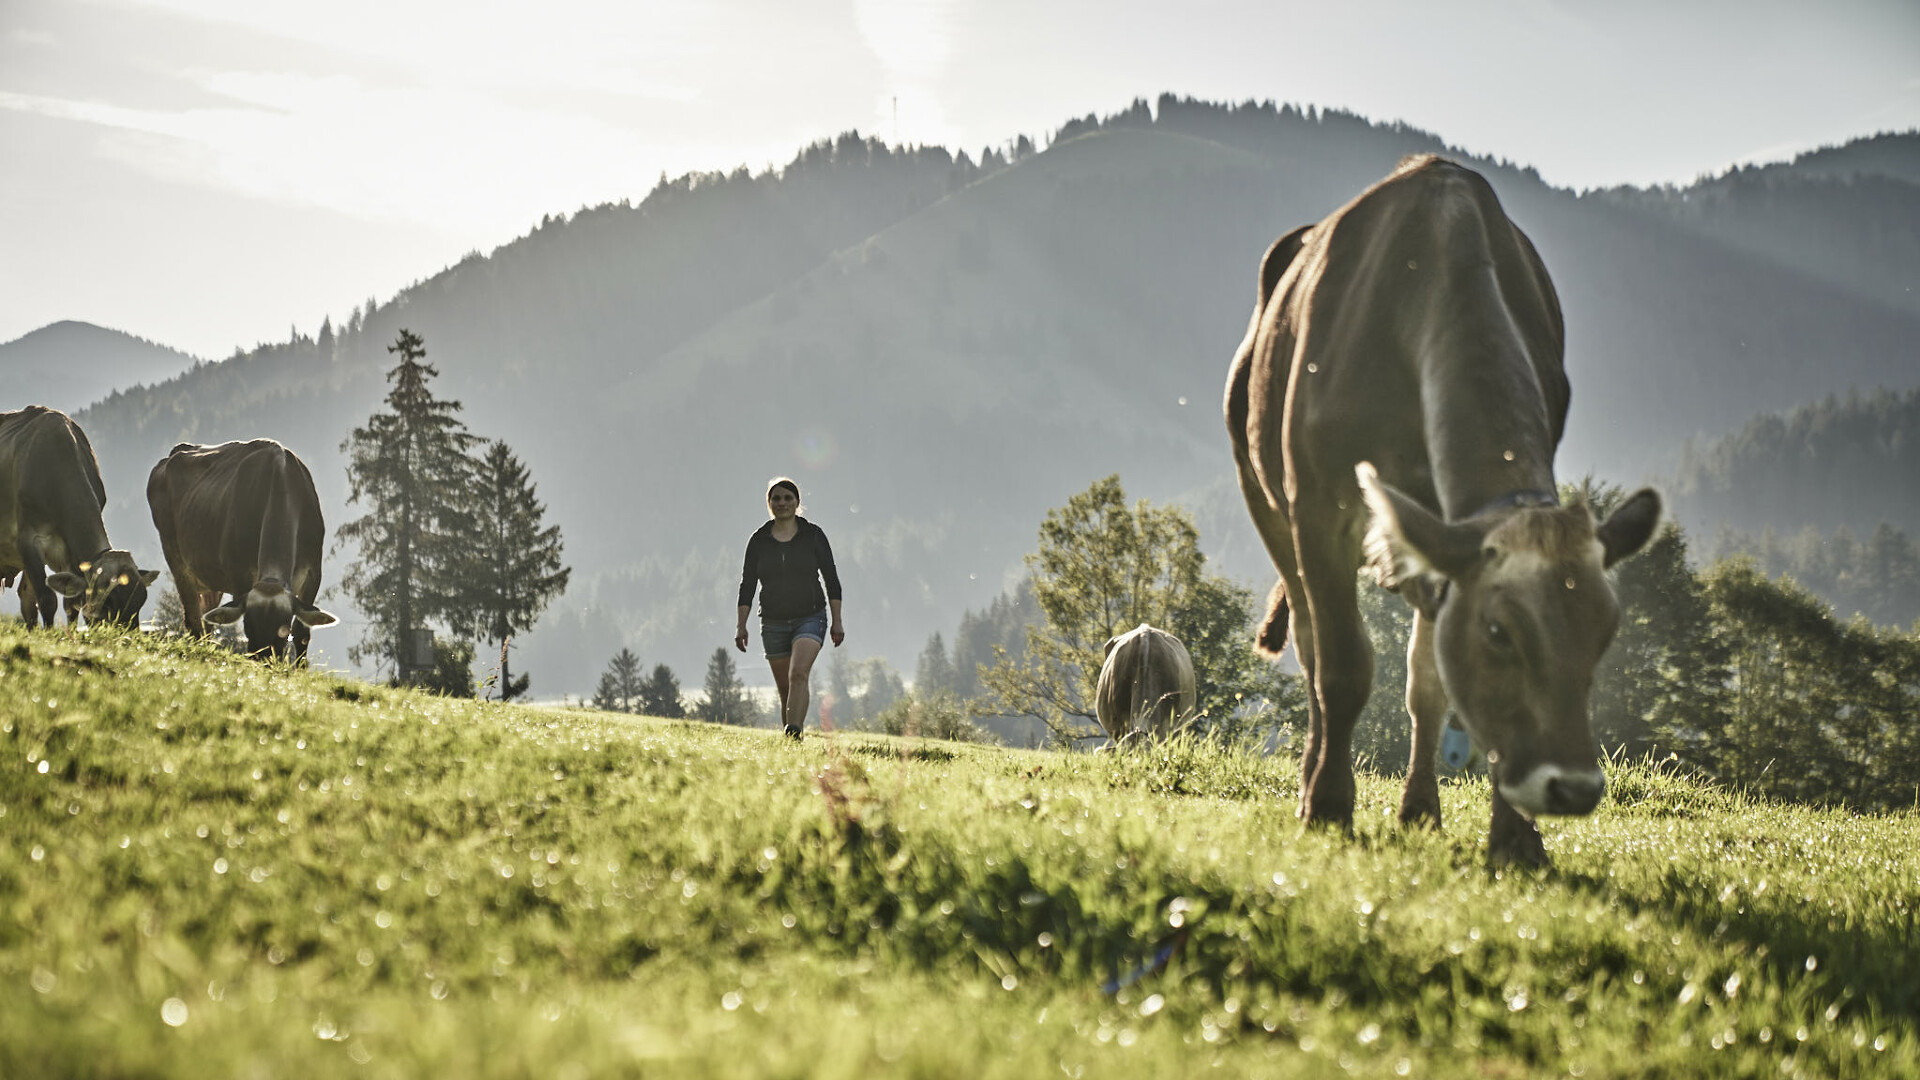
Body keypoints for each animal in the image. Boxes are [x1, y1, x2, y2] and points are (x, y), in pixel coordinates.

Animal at [0, 403, 159, 622]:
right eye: (109, 602)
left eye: (141, 601)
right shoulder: (27, 541)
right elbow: (47, 599)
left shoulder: (70, 556)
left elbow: (71, 605)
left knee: (27, 599)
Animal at [145, 434, 337, 657]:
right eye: (247, 625)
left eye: (283, 630)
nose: (263, 660)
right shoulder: (238, 575)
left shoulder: (313, 574)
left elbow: (302, 633)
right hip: (175, 558)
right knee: (193, 617)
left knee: (206, 618)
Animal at [1228, 155, 1666, 864]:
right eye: (1500, 631)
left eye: (1606, 631)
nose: (1571, 787)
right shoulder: (1320, 505)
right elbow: (1344, 666)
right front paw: (1329, 806)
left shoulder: (1444, 533)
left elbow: (1431, 685)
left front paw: (1506, 835)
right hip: (1266, 500)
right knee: (1312, 649)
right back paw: (1311, 777)